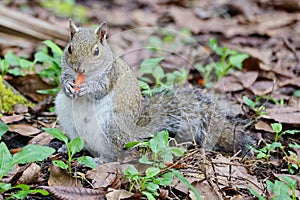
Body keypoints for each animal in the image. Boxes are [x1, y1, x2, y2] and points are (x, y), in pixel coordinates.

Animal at [55, 19, 254, 162]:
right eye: (70, 48)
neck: (87, 75)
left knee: (113, 153)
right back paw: (67, 147)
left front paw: (86, 88)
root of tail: (130, 134)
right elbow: (62, 80)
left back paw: (101, 160)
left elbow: (101, 90)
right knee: (80, 143)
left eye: (96, 51)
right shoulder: (66, 71)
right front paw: (69, 86)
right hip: (66, 116)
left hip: (110, 126)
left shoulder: (111, 76)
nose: (79, 69)